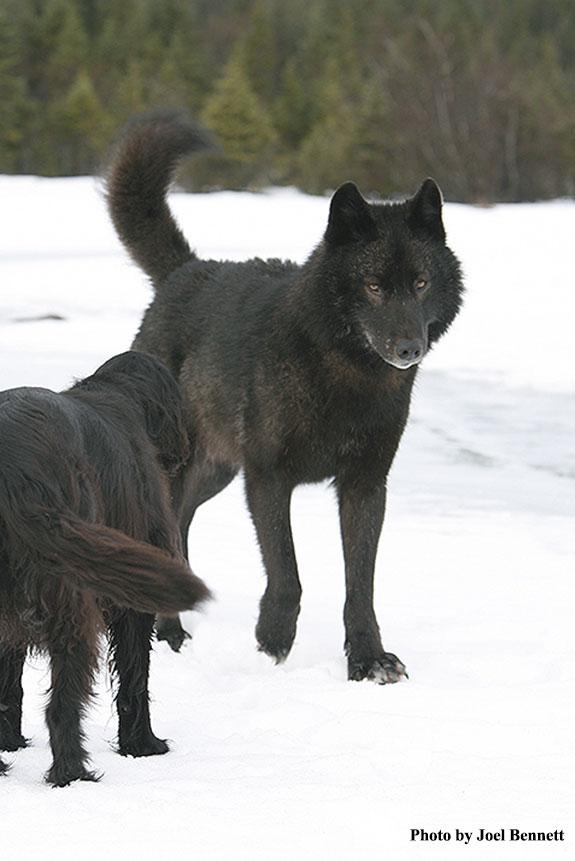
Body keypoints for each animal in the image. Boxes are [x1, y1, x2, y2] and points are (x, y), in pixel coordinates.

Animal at [106, 112, 463, 683]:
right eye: (373, 286)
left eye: (421, 282)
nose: (410, 348)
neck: (345, 378)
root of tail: (186, 271)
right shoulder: (269, 478)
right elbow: (287, 571)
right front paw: (272, 638)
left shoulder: (365, 485)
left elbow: (360, 585)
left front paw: (368, 659)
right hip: (184, 468)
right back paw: (170, 632)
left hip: (215, 472)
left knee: (181, 526)